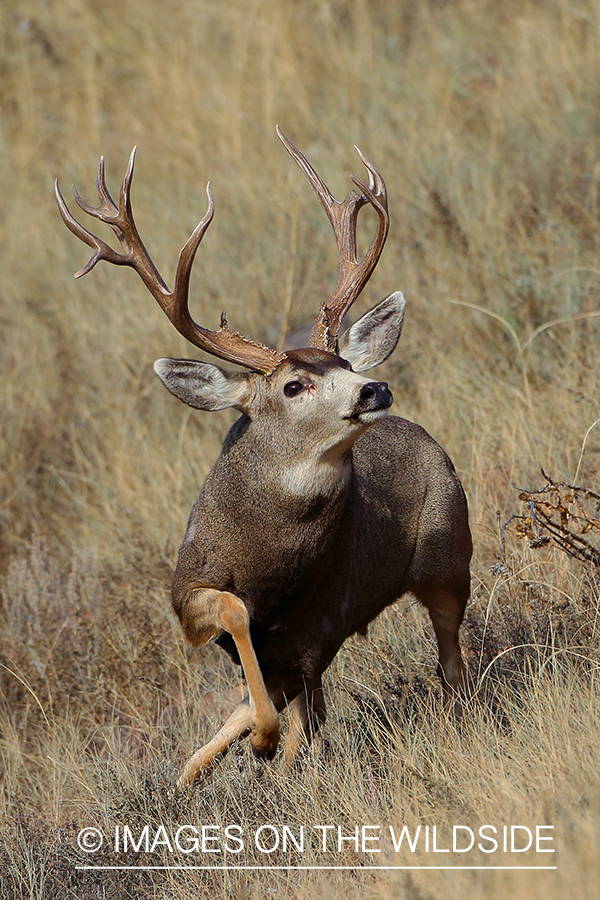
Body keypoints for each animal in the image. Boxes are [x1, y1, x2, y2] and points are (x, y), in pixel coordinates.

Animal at [55, 128, 472, 787]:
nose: (373, 388)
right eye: (294, 385)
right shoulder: (188, 594)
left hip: (449, 554)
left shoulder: (319, 626)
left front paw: (265, 743)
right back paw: (195, 770)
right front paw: (245, 746)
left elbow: (288, 716)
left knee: (449, 659)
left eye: (346, 363)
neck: (271, 565)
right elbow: (234, 618)